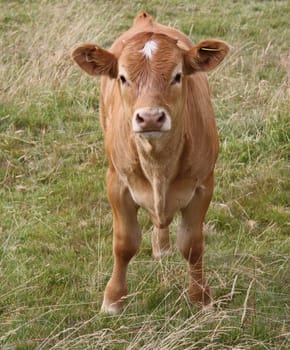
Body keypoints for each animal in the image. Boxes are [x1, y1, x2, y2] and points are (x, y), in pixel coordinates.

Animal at [71, 11, 228, 314]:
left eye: (178, 76)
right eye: (122, 77)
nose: (151, 117)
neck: (159, 166)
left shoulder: (204, 185)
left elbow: (192, 245)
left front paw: (200, 297)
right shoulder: (116, 183)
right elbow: (124, 244)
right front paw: (114, 299)